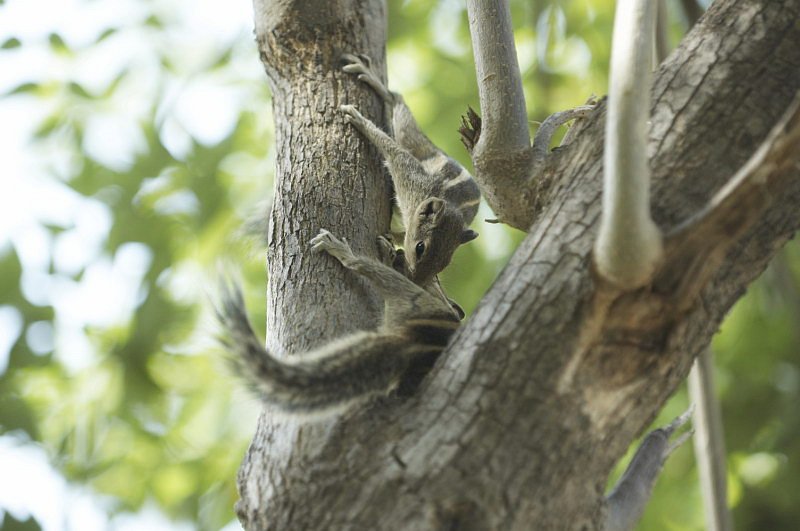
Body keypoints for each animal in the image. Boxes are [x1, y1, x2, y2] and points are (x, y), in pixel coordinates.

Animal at [219, 228, 460, 412]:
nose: (402, 254)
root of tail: (416, 341)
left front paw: (388, 253)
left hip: (412, 300)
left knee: (368, 269)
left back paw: (347, 253)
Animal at [340, 52, 482, 288]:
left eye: (444, 264)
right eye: (420, 248)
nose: (415, 280)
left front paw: (391, 238)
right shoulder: (410, 177)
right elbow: (392, 150)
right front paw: (361, 121)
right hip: (409, 136)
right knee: (399, 106)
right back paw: (373, 80)